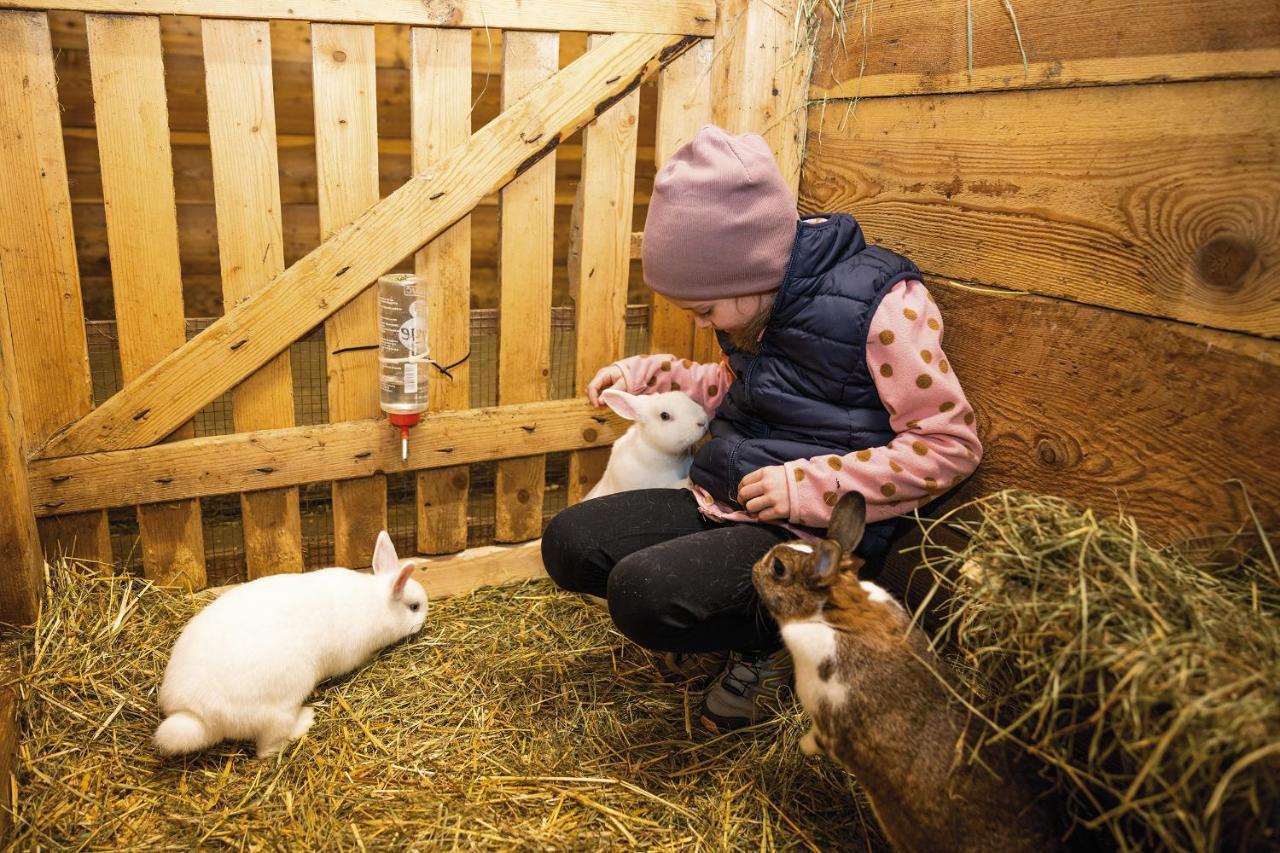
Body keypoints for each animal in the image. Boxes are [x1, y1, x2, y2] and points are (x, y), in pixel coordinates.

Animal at [154, 527, 424, 753]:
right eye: (415, 607)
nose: (425, 616)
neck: (378, 601)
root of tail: (194, 714)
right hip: (283, 704)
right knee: (268, 748)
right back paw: (306, 719)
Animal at [747, 491, 1059, 850]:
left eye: (778, 567)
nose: (754, 567)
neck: (837, 617)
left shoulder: (828, 722)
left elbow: (817, 740)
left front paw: (801, 746)